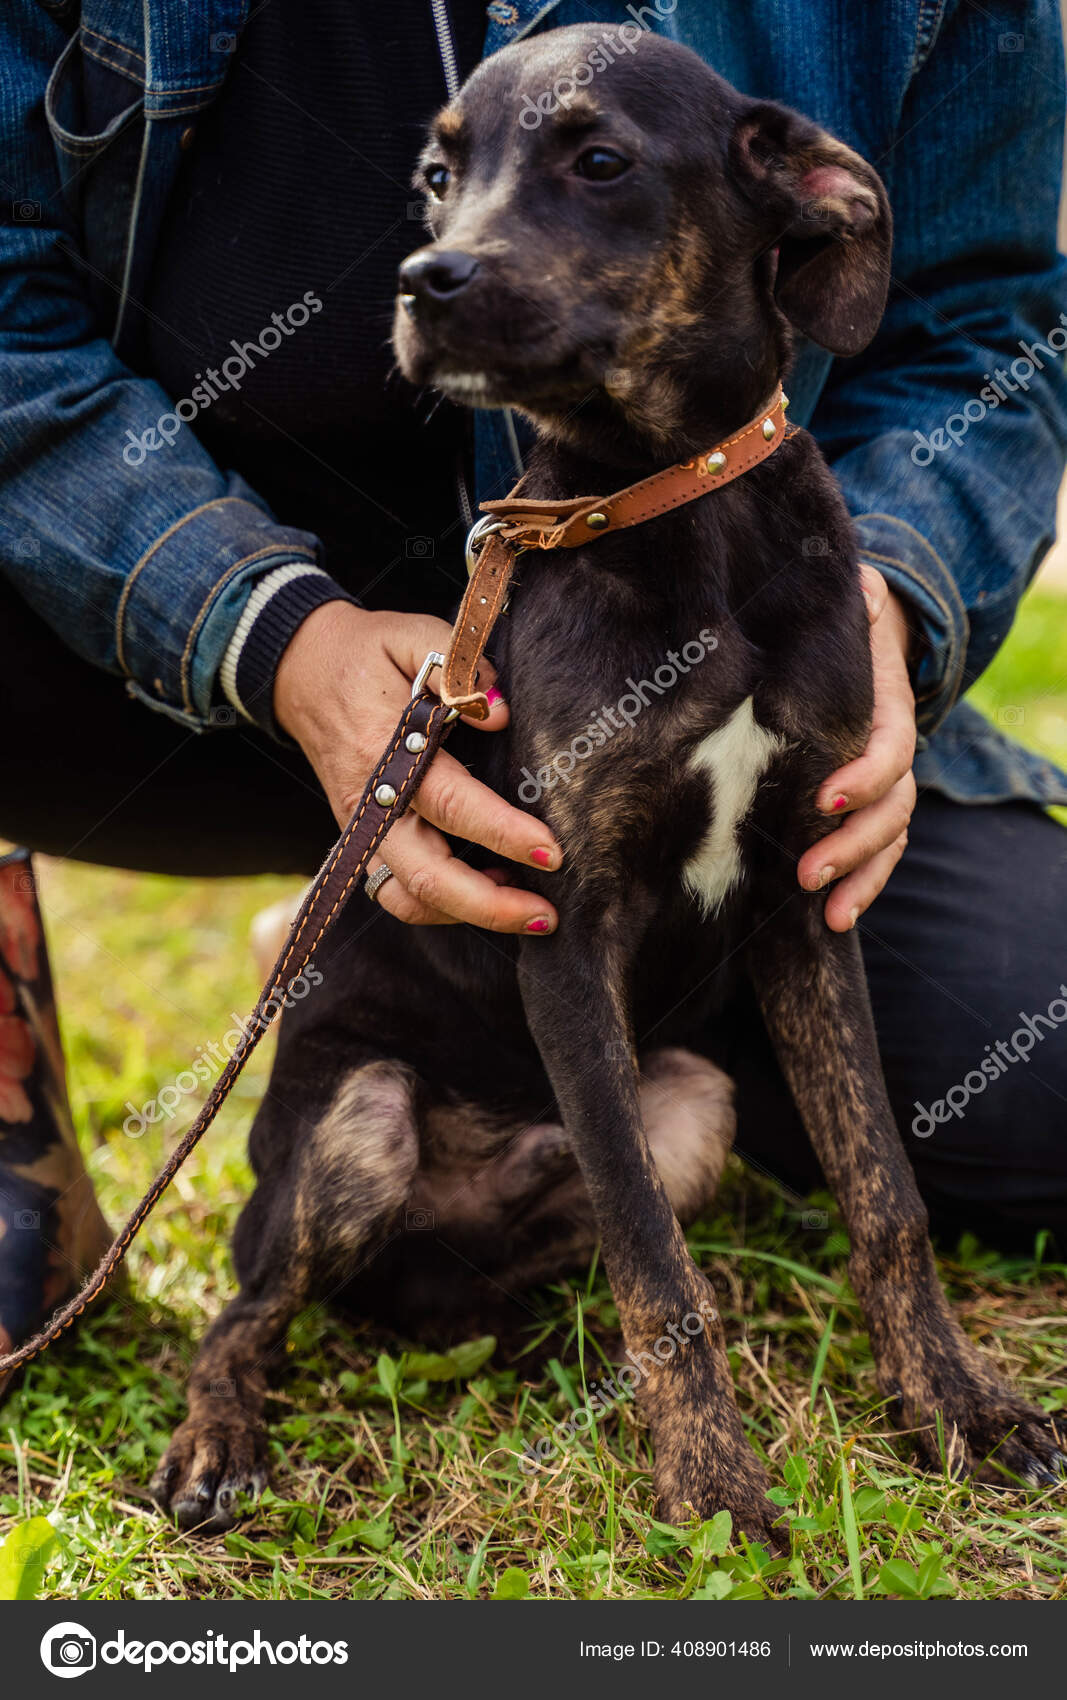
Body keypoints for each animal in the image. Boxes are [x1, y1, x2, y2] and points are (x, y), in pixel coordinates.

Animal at [152, 27, 1064, 1544]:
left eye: (597, 160)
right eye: (435, 177)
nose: (424, 279)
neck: (671, 497)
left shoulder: (808, 894)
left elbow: (879, 1191)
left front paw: (955, 1405)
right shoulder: (563, 926)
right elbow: (653, 1261)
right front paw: (711, 1488)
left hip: (688, 1099)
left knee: (506, 1266)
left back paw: (542, 1358)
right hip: (354, 1126)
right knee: (251, 1305)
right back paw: (217, 1444)